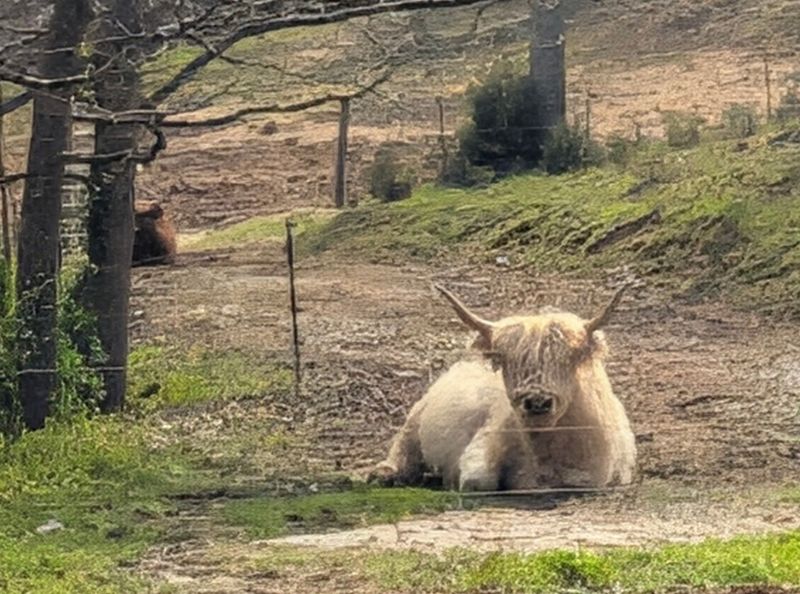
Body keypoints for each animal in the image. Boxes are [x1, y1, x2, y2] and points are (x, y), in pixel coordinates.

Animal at [371, 285, 636, 492]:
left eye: (570, 358)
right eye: (506, 359)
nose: (537, 403)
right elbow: (477, 481)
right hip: (415, 422)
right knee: (404, 450)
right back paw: (385, 474)